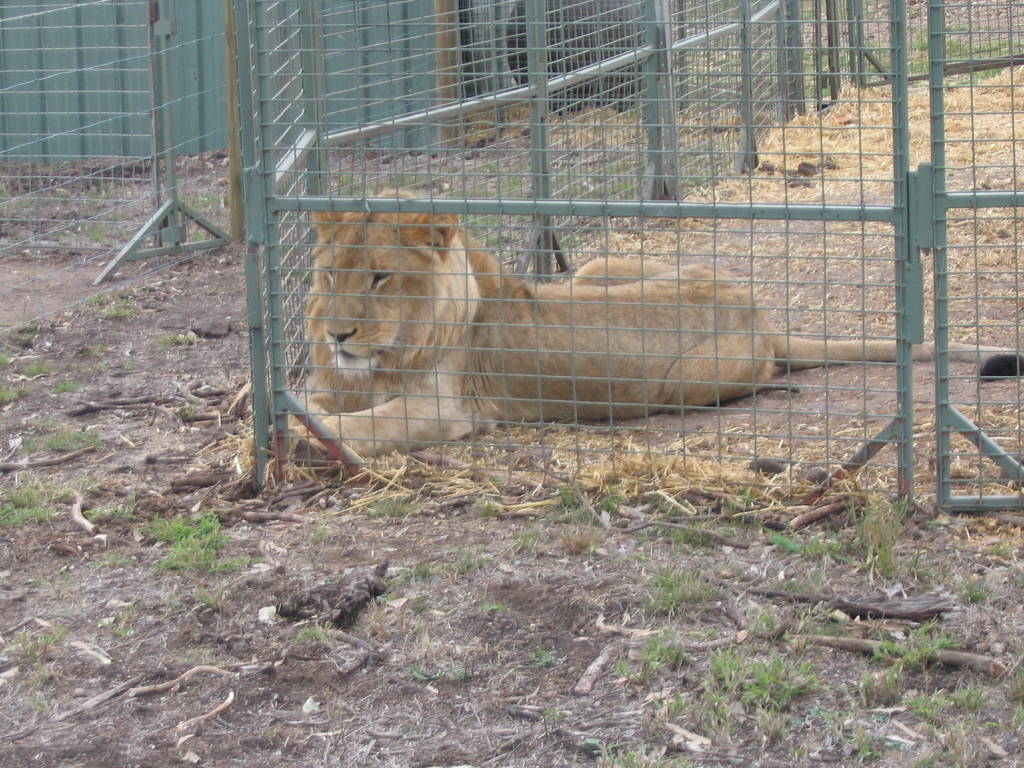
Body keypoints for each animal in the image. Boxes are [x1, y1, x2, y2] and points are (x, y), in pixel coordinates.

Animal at [294, 201, 1017, 458]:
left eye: (381, 277)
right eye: (330, 273)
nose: (337, 335)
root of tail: (761, 312)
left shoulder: (444, 408)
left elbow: (368, 425)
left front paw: (309, 435)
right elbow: (317, 398)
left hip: (681, 380)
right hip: (598, 268)